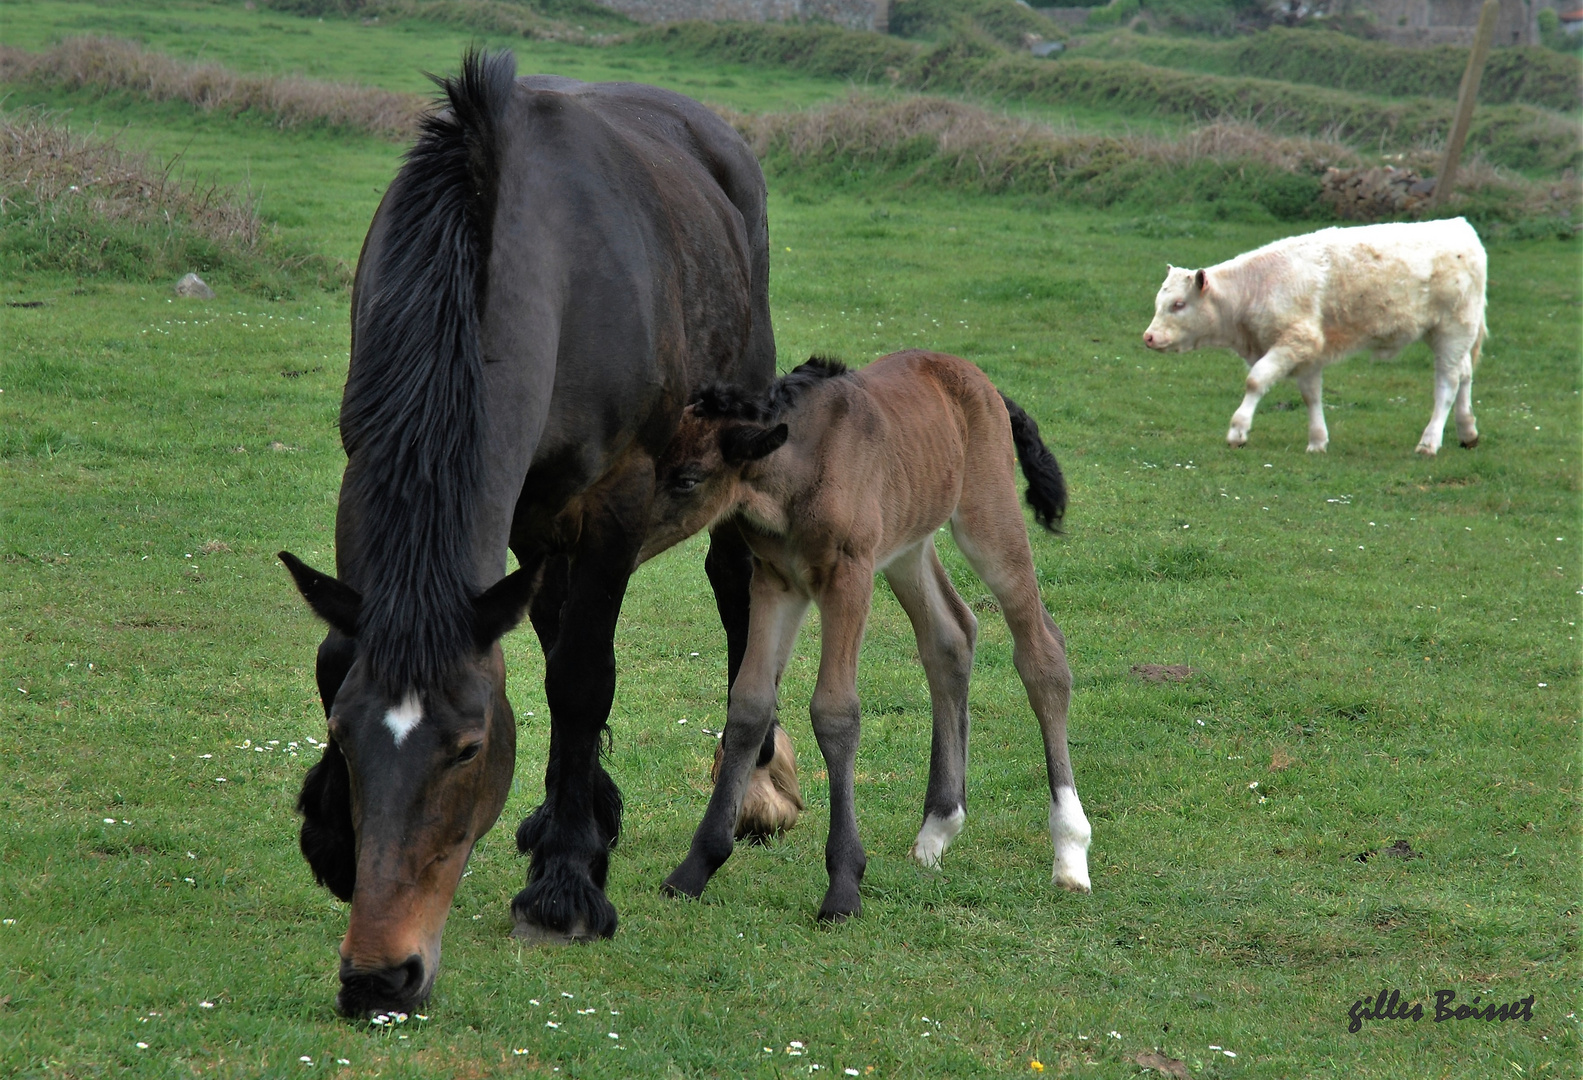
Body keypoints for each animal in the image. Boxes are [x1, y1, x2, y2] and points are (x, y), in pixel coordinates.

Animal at [281, 50, 788, 1007]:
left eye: (468, 748)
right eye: (345, 738)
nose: (380, 977)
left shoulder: (616, 503)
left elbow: (583, 680)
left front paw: (564, 888)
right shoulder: (392, 466)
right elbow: (344, 652)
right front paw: (335, 838)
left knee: (736, 587)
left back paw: (757, 790)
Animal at [636, 346, 1095, 918]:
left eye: (688, 479)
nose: (624, 540)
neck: (799, 469)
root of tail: (978, 379)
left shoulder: (848, 577)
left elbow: (835, 713)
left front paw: (843, 887)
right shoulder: (775, 582)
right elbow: (748, 706)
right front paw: (695, 868)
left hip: (988, 519)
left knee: (1042, 653)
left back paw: (1070, 851)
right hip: (906, 545)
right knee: (951, 636)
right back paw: (936, 830)